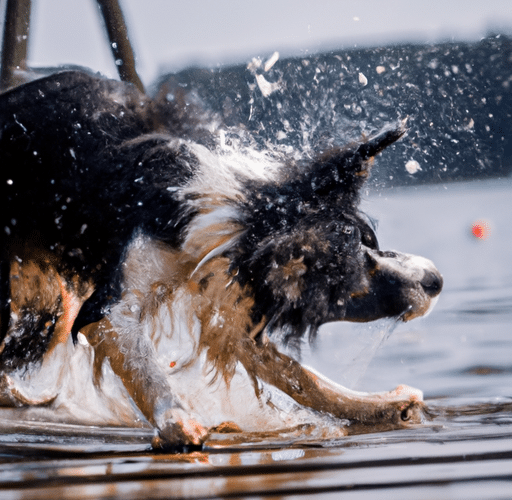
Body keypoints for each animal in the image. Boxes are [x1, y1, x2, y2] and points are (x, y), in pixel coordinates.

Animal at [0, 69, 440, 446]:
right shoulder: (110, 305)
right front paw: (177, 422)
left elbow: (298, 375)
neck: (235, 221)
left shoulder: (230, 302)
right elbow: (148, 369)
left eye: (371, 242)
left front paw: (380, 405)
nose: (436, 279)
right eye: (349, 276)